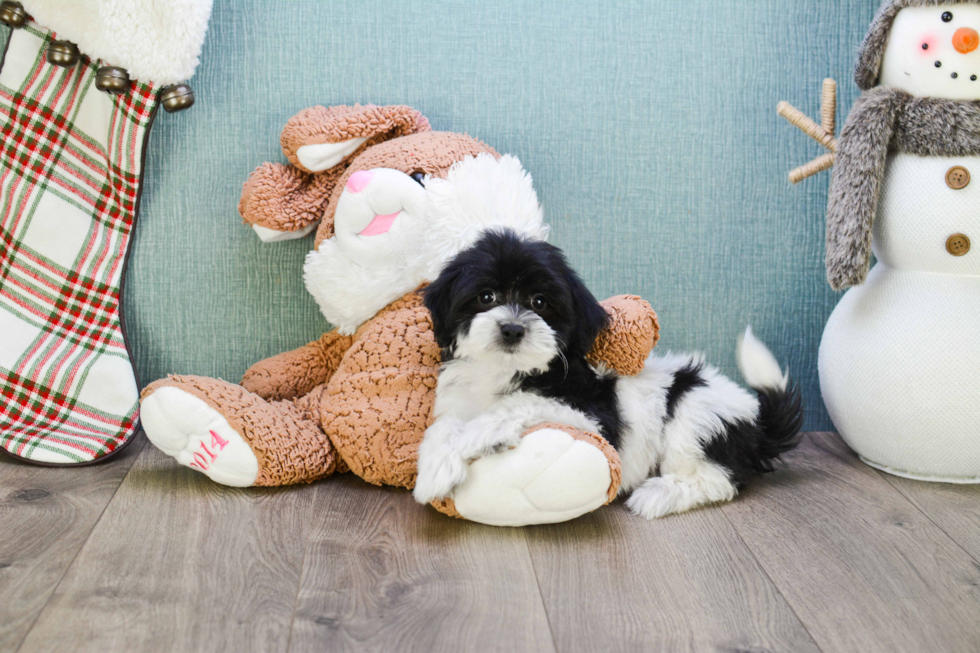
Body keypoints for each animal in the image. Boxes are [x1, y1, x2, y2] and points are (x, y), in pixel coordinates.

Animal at [414, 227, 804, 516]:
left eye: (540, 302)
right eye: (486, 297)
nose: (512, 329)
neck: (506, 370)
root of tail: (757, 423)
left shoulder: (594, 416)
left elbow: (522, 401)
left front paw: (482, 432)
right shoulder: (458, 399)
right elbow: (443, 427)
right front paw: (435, 469)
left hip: (695, 412)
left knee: (717, 478)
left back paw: (658, 495)